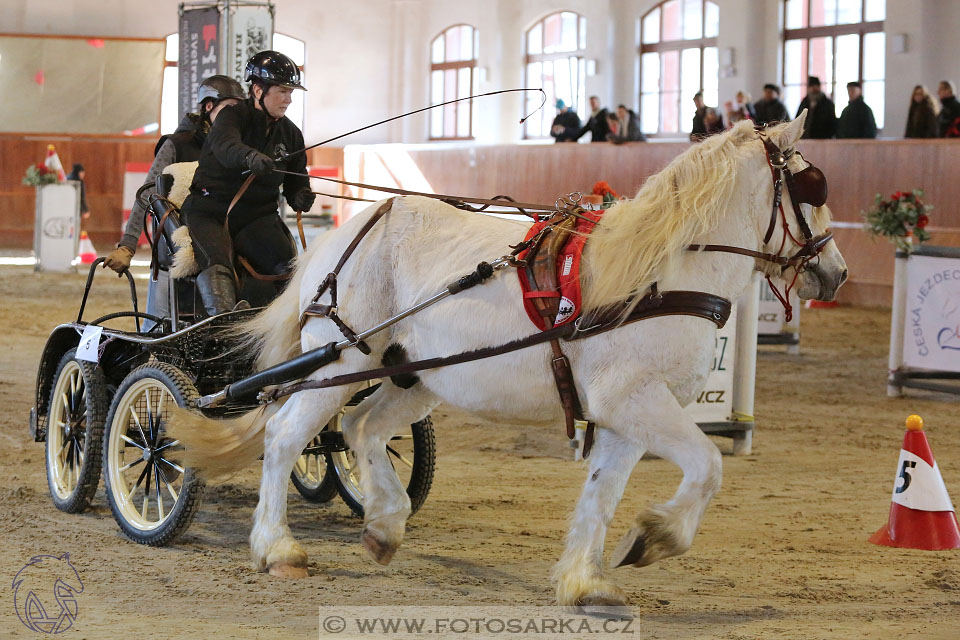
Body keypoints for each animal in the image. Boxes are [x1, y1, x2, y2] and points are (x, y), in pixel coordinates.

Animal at [172, 115, 848, 608]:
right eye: (813, 188)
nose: (836, 272)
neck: (662, 272)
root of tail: (348, 230)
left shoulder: (627, 415)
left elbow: (601, 495)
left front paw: (585, 583)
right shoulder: (635, 400)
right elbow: (708, 466)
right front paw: (656, 538)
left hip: (412, 375)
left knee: (362, 428)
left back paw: (385, 525)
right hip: (340, 363)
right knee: (287, 435)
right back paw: (276, 548)